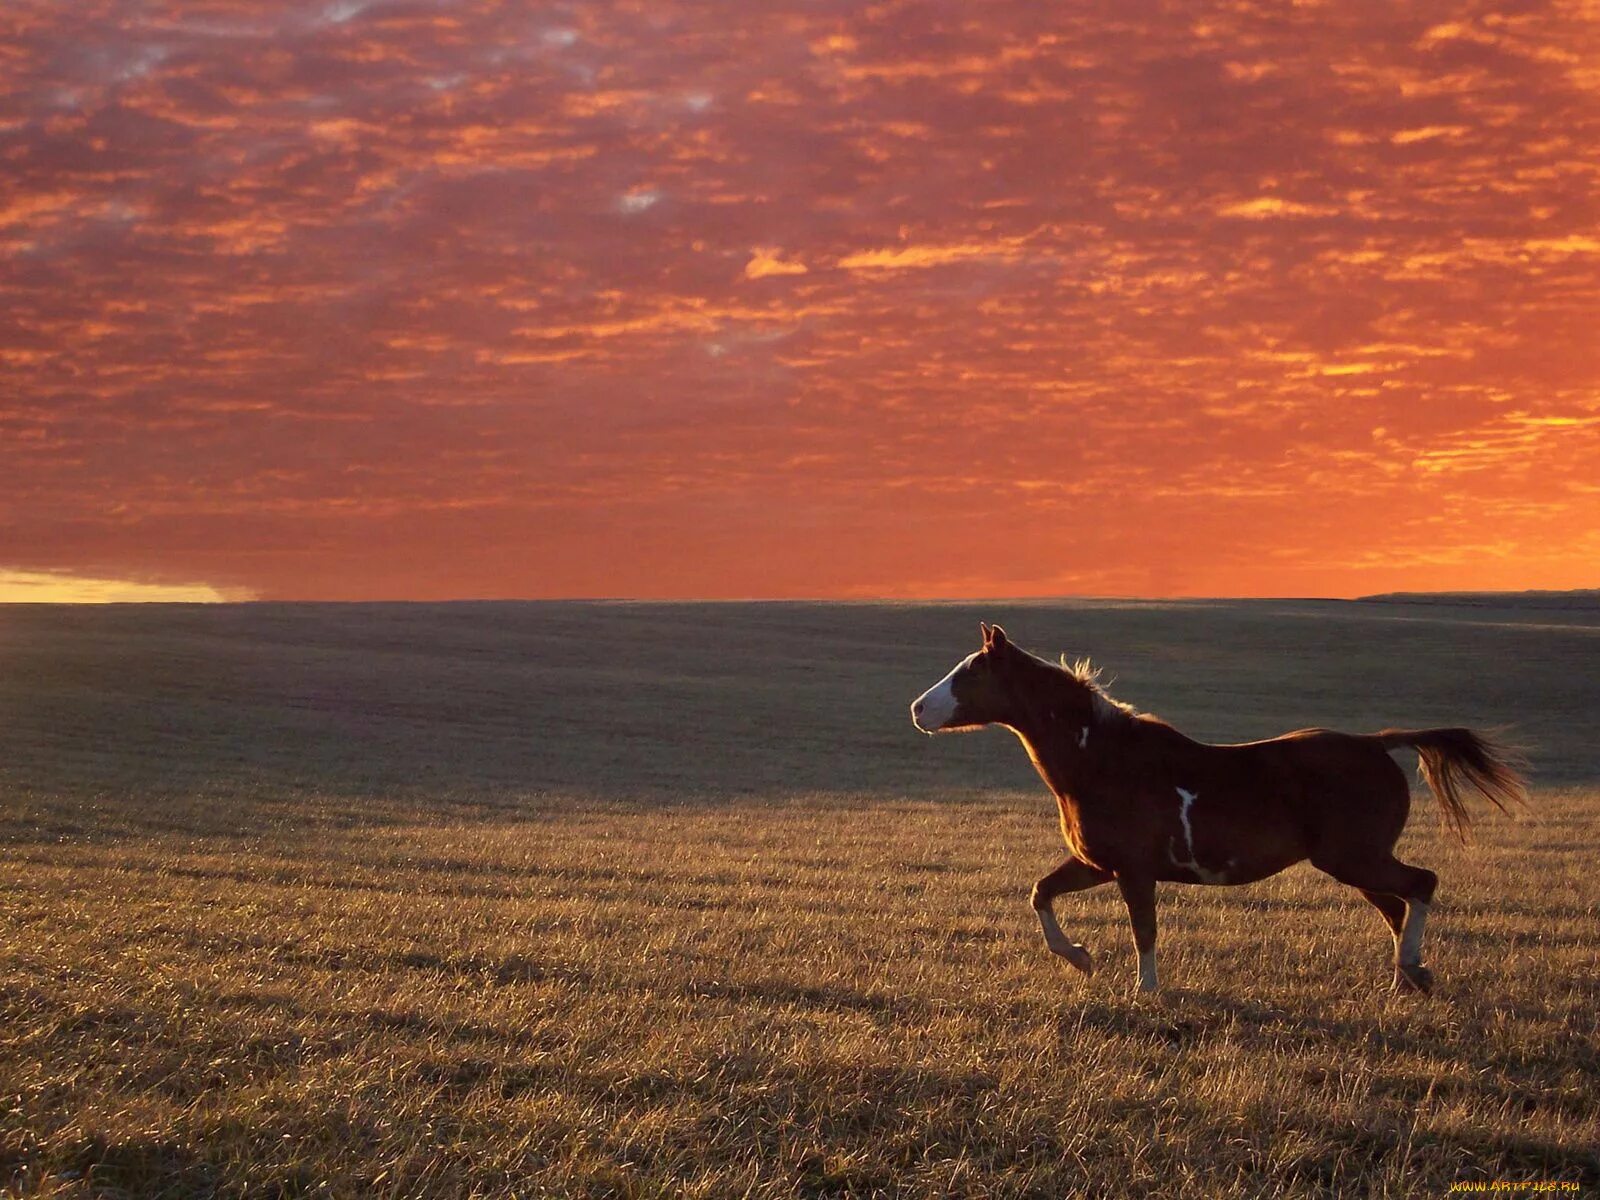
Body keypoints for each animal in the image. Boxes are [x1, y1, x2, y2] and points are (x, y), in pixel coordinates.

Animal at [915, 620, 1523, 998]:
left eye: (969, 673)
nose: (918, 709)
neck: (1102, 762)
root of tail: (1377, 744)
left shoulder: (1133, 871)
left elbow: (1145, 930)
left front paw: (1145, 991)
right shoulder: (1096, 864)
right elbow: (1041, 893)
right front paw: (1082, 958)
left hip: (1355, 858)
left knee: (1421, 884)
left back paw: (1414, 968)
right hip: (1353, 863)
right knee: (1396, 908)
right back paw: (1402, 980)